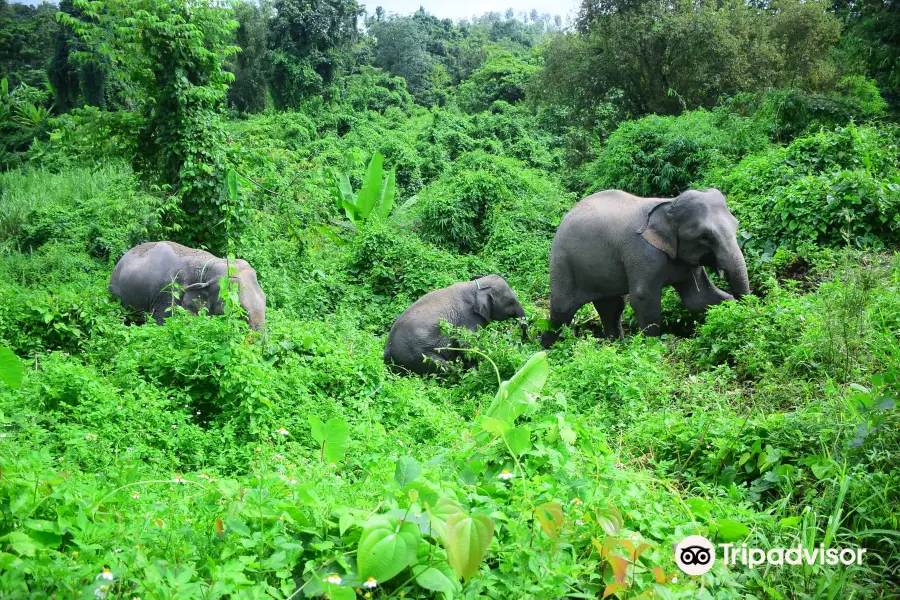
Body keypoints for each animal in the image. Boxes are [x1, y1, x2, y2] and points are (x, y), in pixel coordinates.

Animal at [382, 274, 528, 372]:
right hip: (418, 354)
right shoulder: (468, 319)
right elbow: (466, 345)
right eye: (511, 302)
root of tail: (388, 350)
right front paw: (476, 371)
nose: (524, 339)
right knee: (446, 368)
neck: (476, 286)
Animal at [540, 188, 752, 346]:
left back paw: (615, 347)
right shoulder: (643, 253)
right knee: (563, 309)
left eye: (736, 225)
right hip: (563, 262)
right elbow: (643, 297)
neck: (669, 203)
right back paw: (545, 351)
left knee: (611, 306)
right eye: (705, 237)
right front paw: (652, 348)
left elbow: (698, 298)